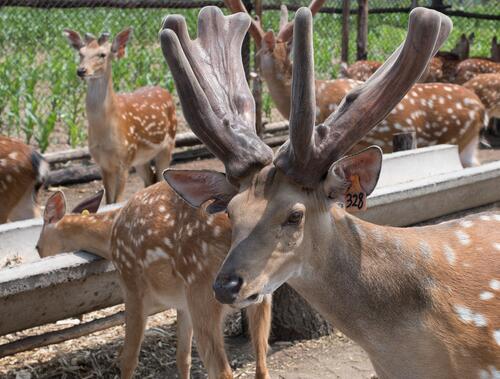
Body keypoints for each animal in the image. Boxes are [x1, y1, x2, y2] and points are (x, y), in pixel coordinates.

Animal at [35, 186, 272, 379]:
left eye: (37, 247)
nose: (39, 254)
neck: (110, 235)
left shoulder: (131, 285)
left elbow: (128, 358)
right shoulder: (182, 303)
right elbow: (183, 358)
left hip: (202, 288)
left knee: (223, 371)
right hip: (260, 296)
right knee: (262, 365)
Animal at [64, 27, 178, 205]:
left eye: (102, 54)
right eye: (81, 53)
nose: (81, 70)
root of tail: (166, 91)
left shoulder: (124, 160)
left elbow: (117, 202)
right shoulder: (103, 163)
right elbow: (108, 202)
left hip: (168, 144)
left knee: (160, 179)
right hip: (141, 158)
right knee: (150, 180)